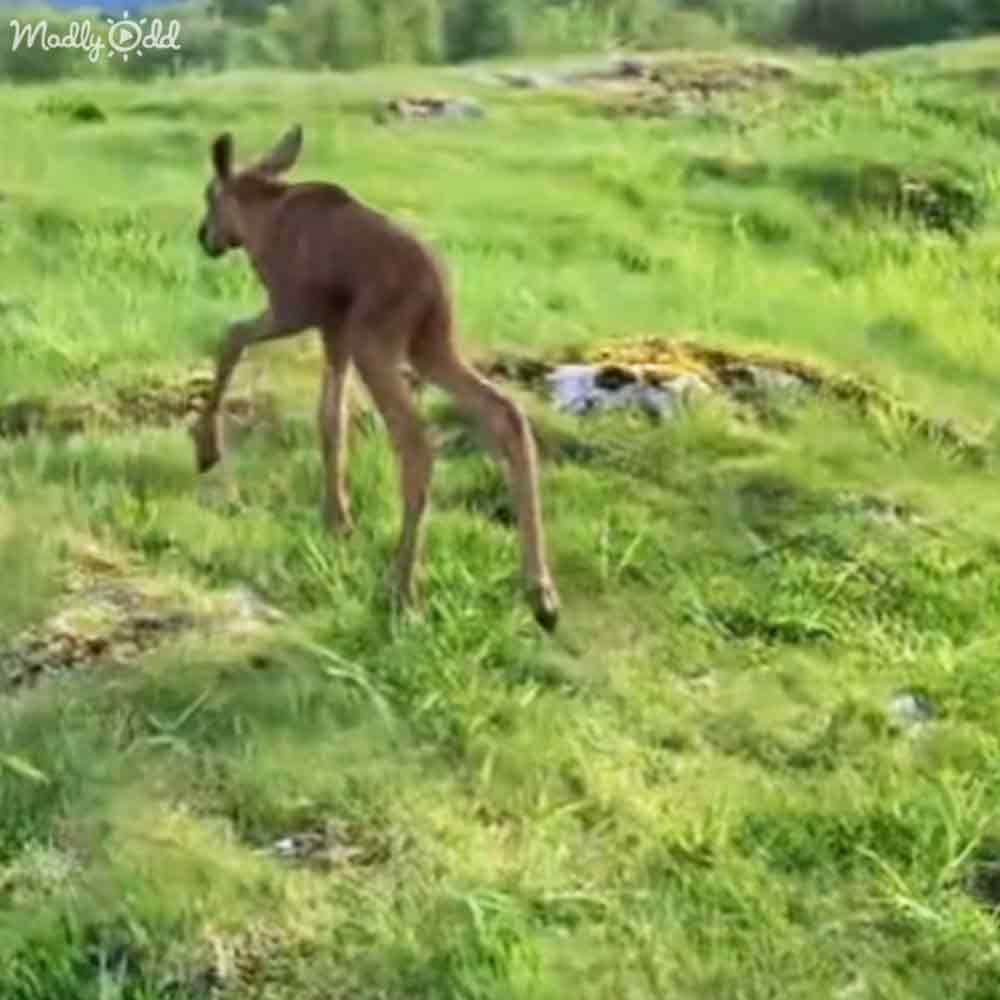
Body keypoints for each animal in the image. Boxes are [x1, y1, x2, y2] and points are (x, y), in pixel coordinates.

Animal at [191, 124, 561, 632]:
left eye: (210, 195)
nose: (203, 236)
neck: (259, 222)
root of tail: (436, 287)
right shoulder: (334, 329)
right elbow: (330, 420)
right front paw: (337, 517)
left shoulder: (294, 308)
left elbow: (231, 336)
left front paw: (206, 444)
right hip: (430, 346)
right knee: (505, 413)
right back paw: (540, 593)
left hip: (378, 343)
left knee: (416, 441)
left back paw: (403, 590)